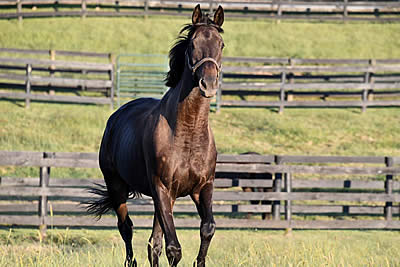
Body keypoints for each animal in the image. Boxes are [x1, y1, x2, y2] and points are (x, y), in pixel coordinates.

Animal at [87, 4, 223, 267]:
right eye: (192, 43)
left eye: (221, 44)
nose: (208, 83)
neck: (188, 132)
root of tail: (115, 118)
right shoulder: (161, 188)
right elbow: (174, 248)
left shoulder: (203, 187)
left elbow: (207, 228)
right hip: (118, 187)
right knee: (127, 229)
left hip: (167, 199)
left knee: (153, 244)